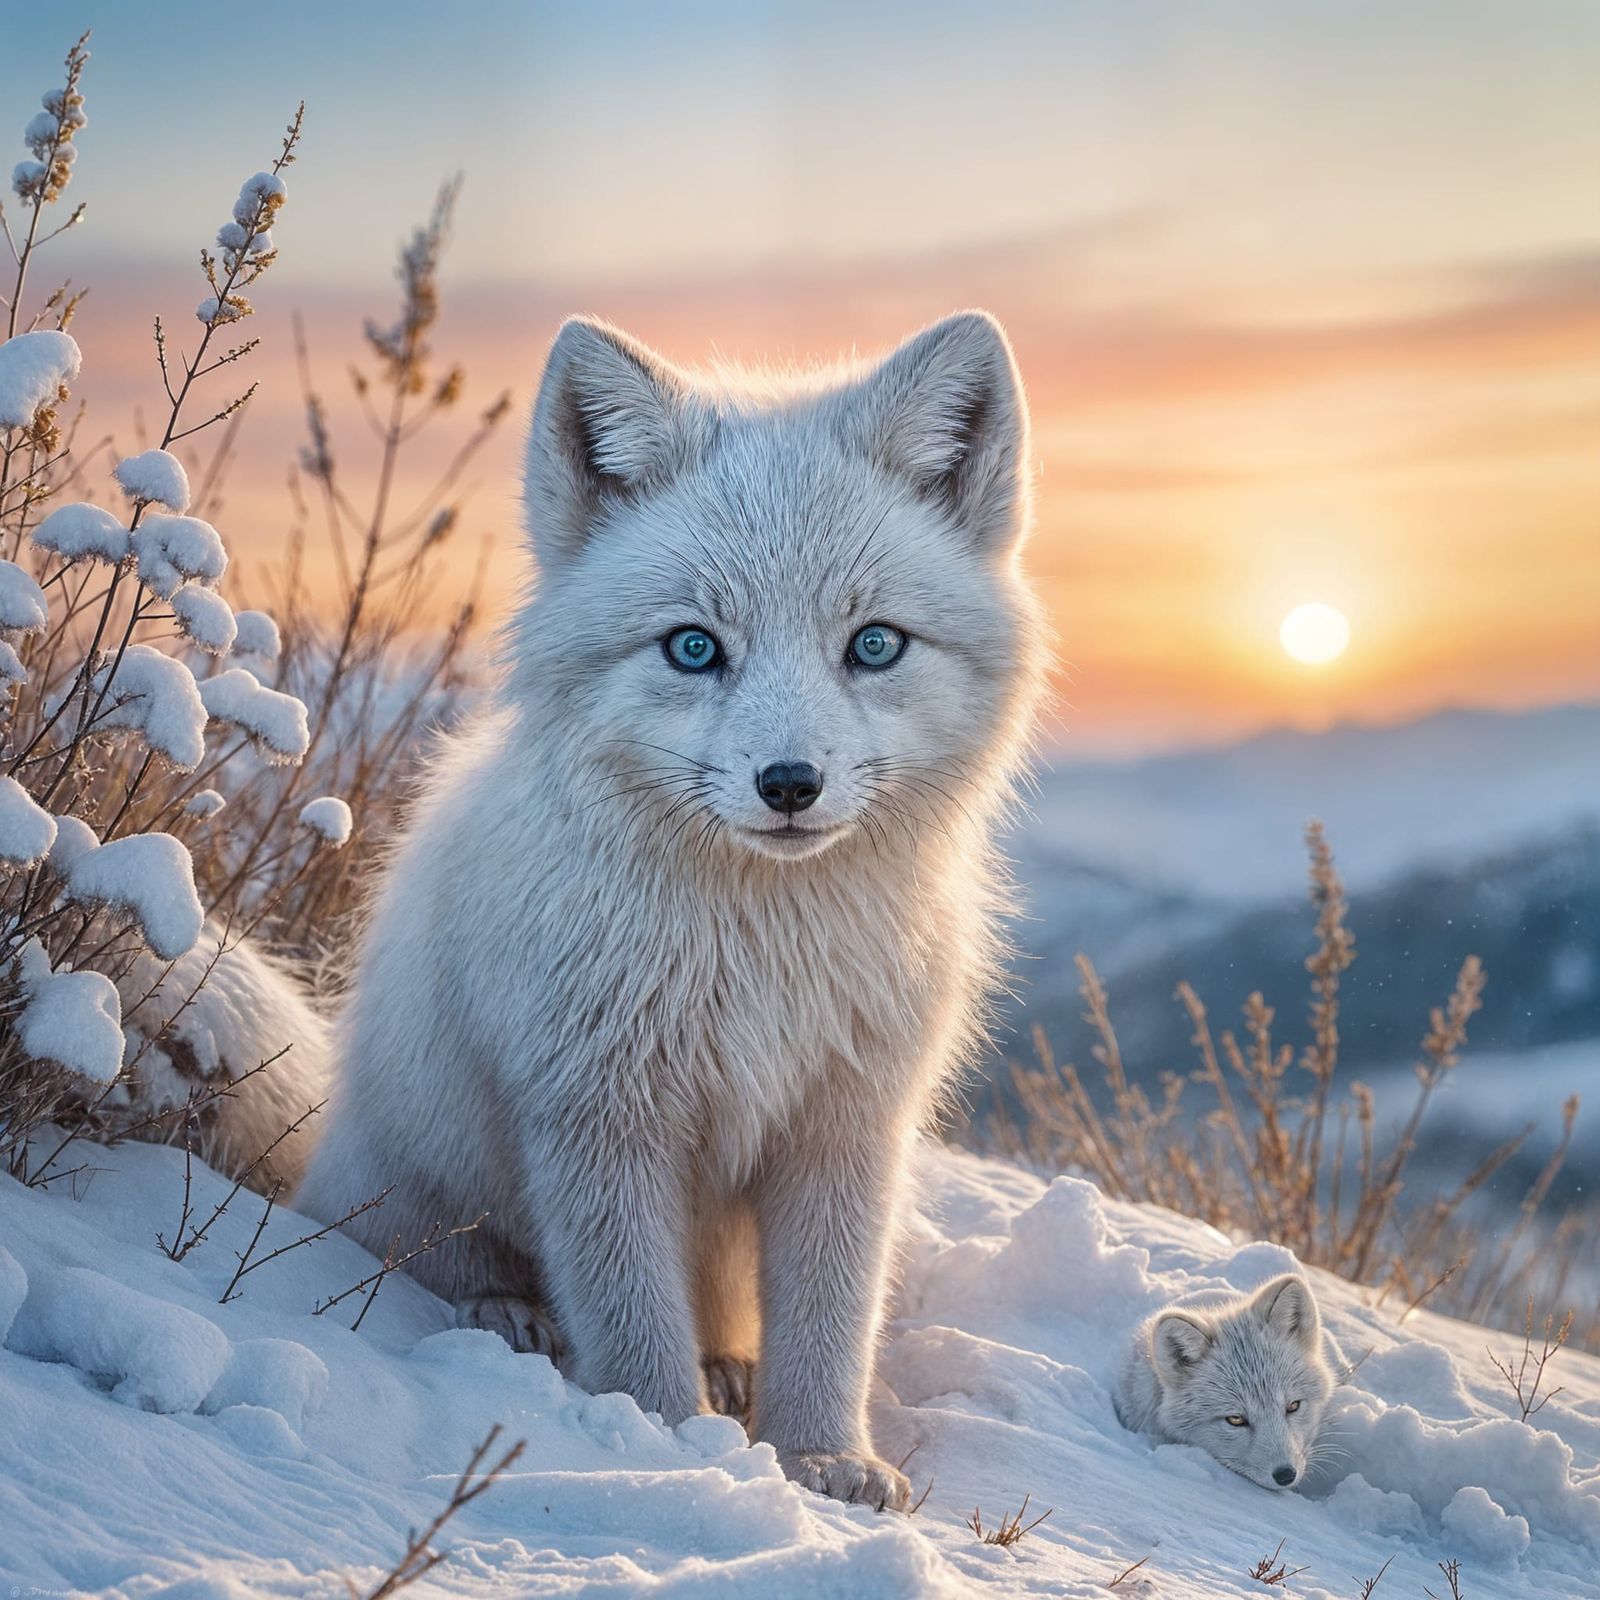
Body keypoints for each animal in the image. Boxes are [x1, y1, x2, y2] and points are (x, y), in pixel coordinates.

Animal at [294, 310, 1049, 1510]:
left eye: (874, 643)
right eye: (694, 645)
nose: (789, 784)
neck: (759, 959)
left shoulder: (845, 1125)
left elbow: (831, 1324)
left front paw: (821, 1458)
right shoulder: (597, 1113)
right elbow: (633, 1324)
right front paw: (665, 1444)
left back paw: (732, 1367)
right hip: (422, 1173)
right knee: (438, 1257)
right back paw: (509, 1312)